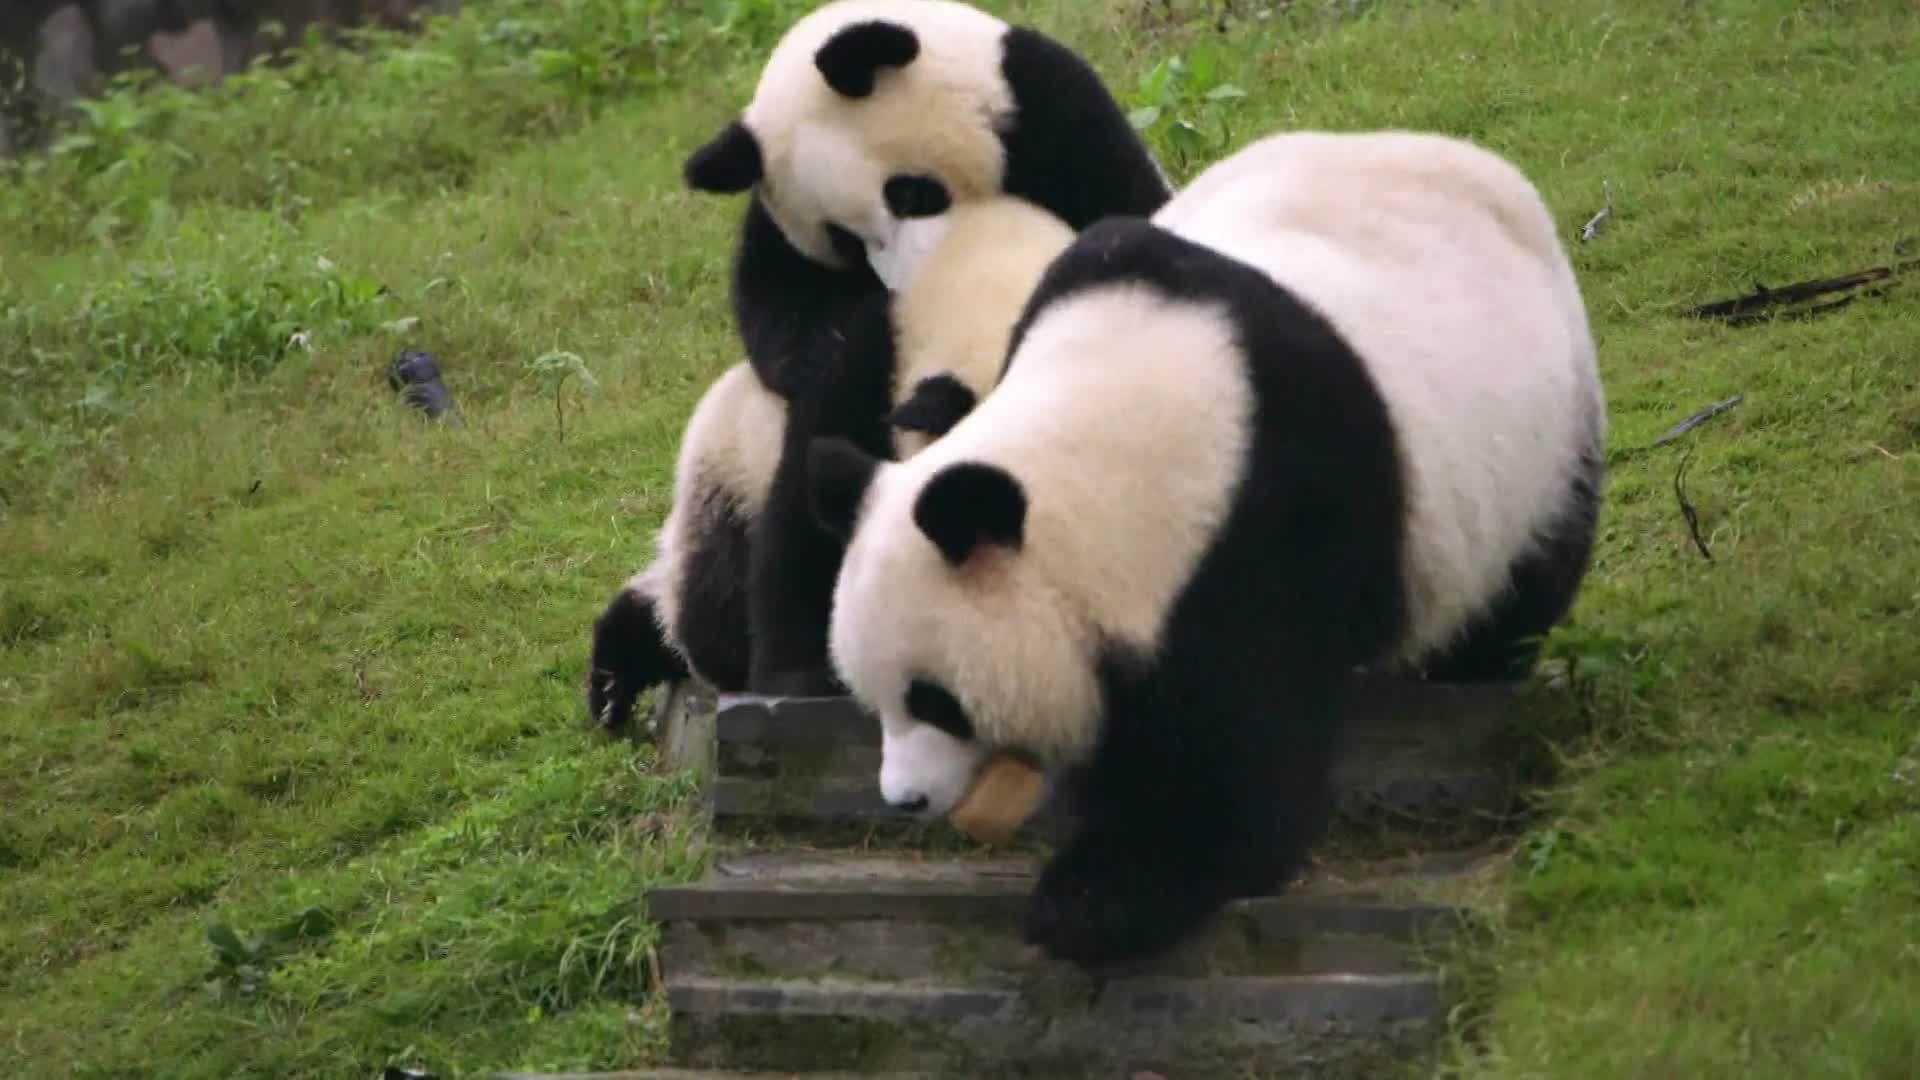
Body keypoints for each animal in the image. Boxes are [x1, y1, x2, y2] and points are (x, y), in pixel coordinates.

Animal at [805, 129, 1607, 968]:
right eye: (872, 696)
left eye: (936, 700)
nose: (904, 799)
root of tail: (1488, 169)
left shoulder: (1262, 531)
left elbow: (1233, 771)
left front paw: (1094, 898)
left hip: (1539, 450)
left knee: (1520, 582)